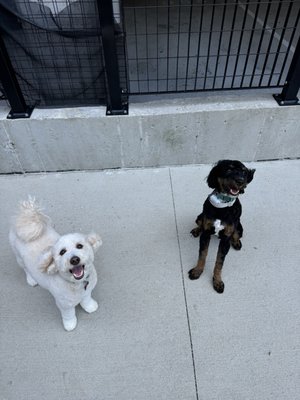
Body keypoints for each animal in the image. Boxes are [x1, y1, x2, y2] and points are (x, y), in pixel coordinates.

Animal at [9, 198, 102, 332]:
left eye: (79, 246)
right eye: (62, 252)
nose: (74, 259)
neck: (78, 284)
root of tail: (26, 217)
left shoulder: (87, 291)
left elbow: (87, 299)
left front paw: (90, 306)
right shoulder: (64, 304)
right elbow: (69, 315)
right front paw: (70, 324)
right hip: (19, 258)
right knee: (25, 269)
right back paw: (31, 280)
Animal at [189, 159, 254, 294]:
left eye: (244, 172)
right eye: (229, 169)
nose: (241, 181)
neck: (223, 206)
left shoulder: (225, 239)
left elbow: (219, 262)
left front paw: (217, 281)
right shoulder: (206, 234)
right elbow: (202, 254)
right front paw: (197, 271)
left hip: (239, 226)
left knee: (236, 234)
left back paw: (236, 242)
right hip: (200, 216)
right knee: (200, 224)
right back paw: (196, 230)